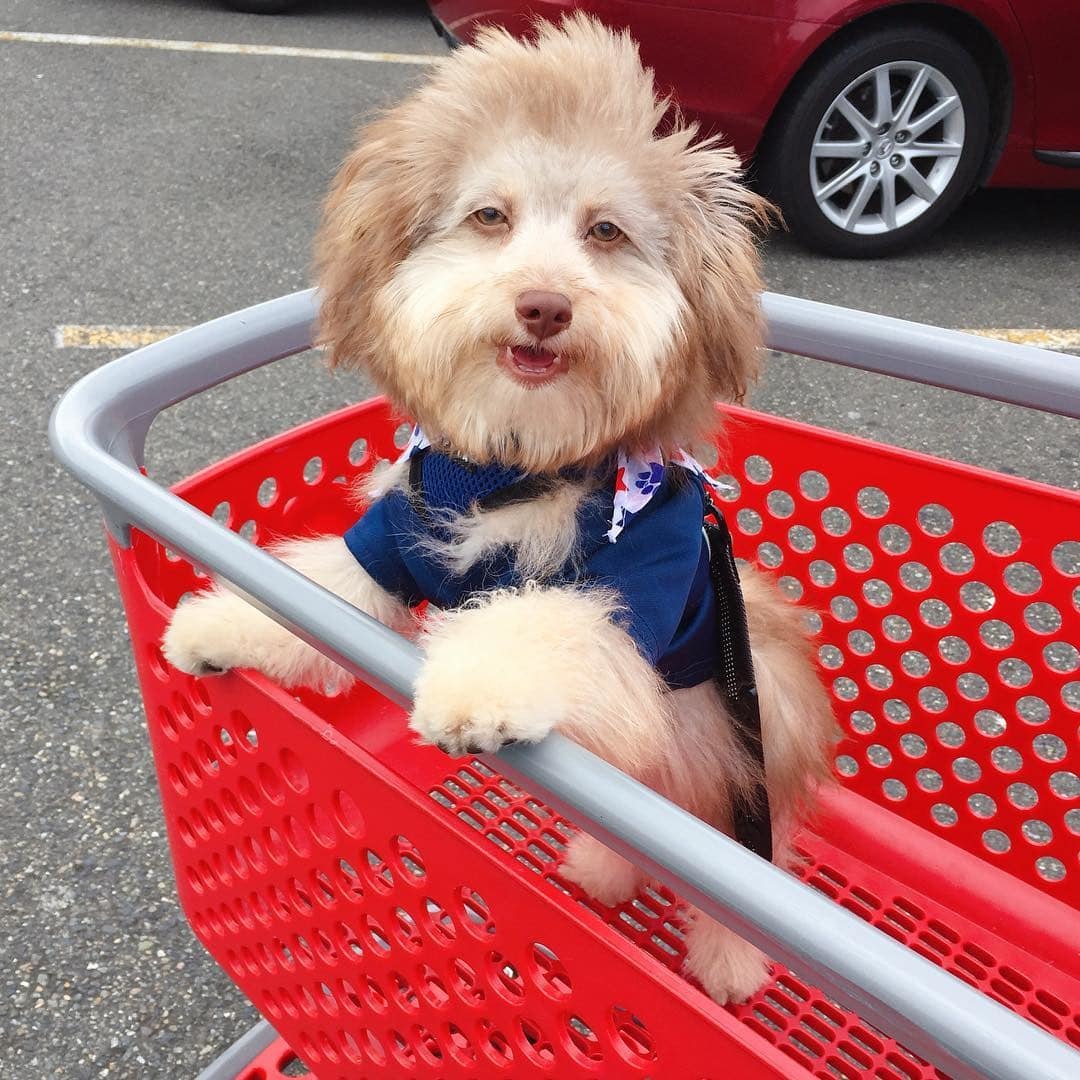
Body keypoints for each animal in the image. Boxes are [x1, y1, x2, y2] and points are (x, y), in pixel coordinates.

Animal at [162, 14, 833, 1002]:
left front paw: (471, 690)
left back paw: (732, 962)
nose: (544, 306)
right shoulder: (388, 546)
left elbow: (542, 623)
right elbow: (317, 594)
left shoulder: (632, 588)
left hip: (748, 750)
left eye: (605, 230)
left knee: (753, 869)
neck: (517, 465)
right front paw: (212, 626)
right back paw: (603, 866)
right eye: (490, 217)